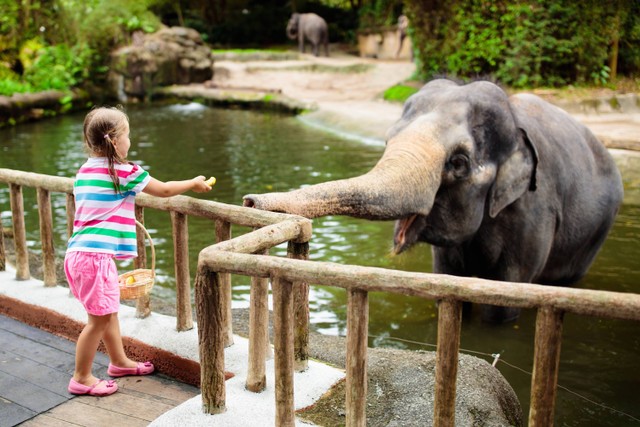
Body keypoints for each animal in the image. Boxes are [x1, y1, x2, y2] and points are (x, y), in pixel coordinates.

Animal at [242, 78, 624, 322]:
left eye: (458, 163)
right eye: (387, 140)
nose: (249, 200)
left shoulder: (533, 211)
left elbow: (504, 299)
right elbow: (450, 286)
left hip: (595, 232)